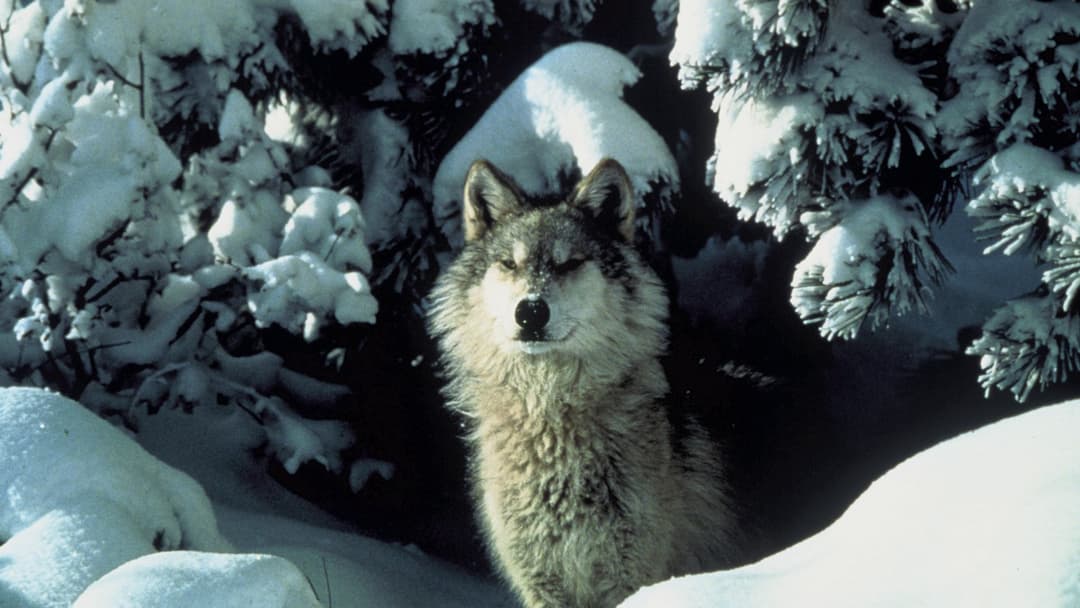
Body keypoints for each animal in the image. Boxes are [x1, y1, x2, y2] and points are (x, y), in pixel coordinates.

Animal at [428, 158, 737, 608]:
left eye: (569, 263)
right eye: (509, 264)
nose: (531, 311)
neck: (550, 420)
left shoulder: (631, 577)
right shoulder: (541, 583)